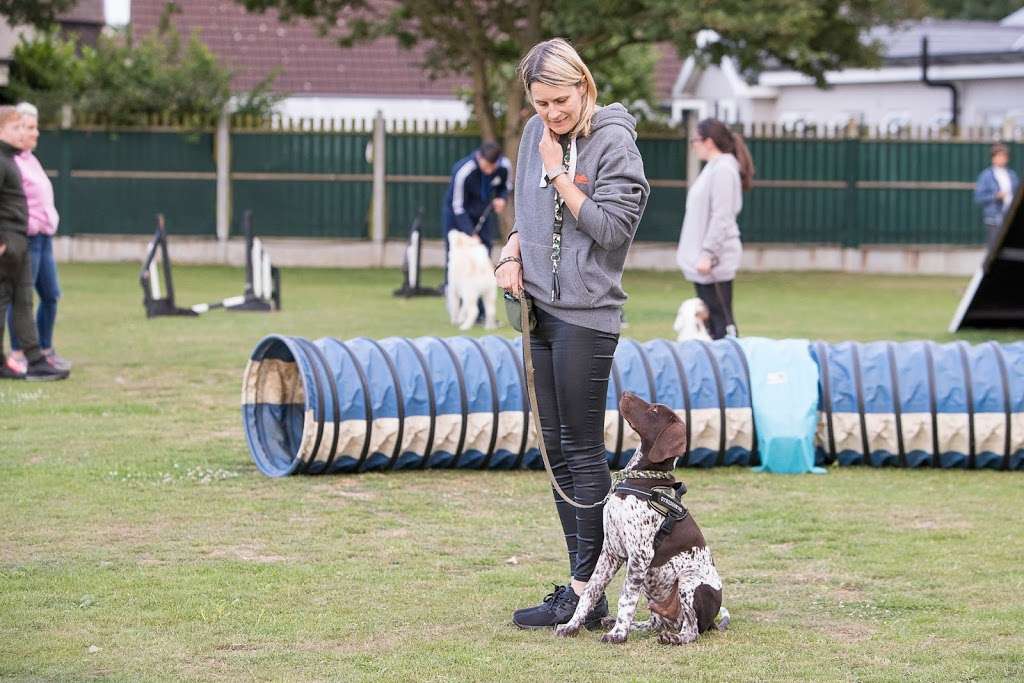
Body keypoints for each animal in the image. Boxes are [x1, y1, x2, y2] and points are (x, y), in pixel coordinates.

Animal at [557, 393, 724, 643]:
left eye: (654, 411)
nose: (626, 392)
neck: (642, 478)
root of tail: (712, 620)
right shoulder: (611, 551)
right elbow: (590, 591)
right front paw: (572, 625)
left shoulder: (640, 555)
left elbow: (626, 597)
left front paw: (617, 634)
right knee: (655, 623)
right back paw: (623, 623)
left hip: (689, 582)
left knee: (692, 630)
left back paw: (672, 638)